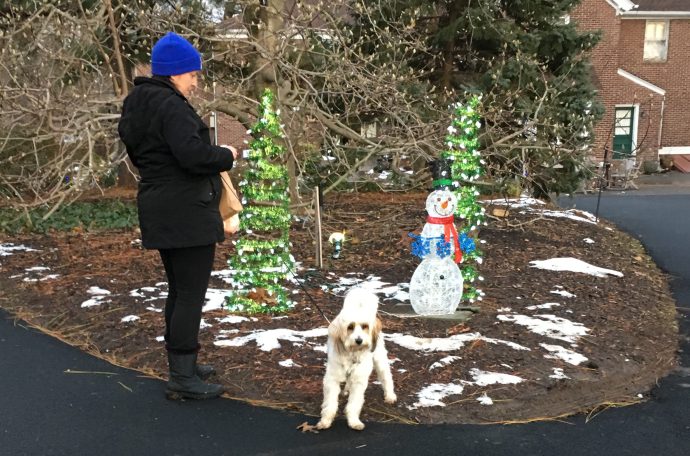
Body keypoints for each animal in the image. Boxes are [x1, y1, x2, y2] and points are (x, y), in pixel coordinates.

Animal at [314, 288, 396, 432]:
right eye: (350, 327)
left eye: (364, 326)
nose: (359, 340)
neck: (352, 353)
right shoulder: (332, 379)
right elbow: (330, 404)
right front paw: (325, 421)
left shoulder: (359, 381)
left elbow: (354, 404)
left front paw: (353, 422)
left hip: (380, 359)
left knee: (386, 377)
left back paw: (390, 395)